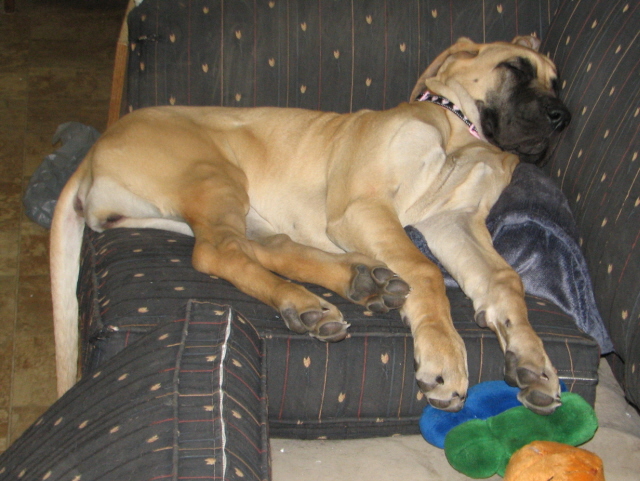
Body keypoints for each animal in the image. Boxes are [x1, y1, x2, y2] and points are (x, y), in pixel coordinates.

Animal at [50, 36, 568, 412]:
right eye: (515, 68)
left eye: (557, 82)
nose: (562, 117)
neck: (464, 134)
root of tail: (94, 151)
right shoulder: (363, 206)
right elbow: (423, 270)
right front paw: (443, 354)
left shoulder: (452, 222)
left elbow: (504, 278)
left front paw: (532, 359)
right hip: (212, 171)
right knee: (217, 252)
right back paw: (305, 301)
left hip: (228, 206)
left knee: (261, 246)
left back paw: (359, 280)